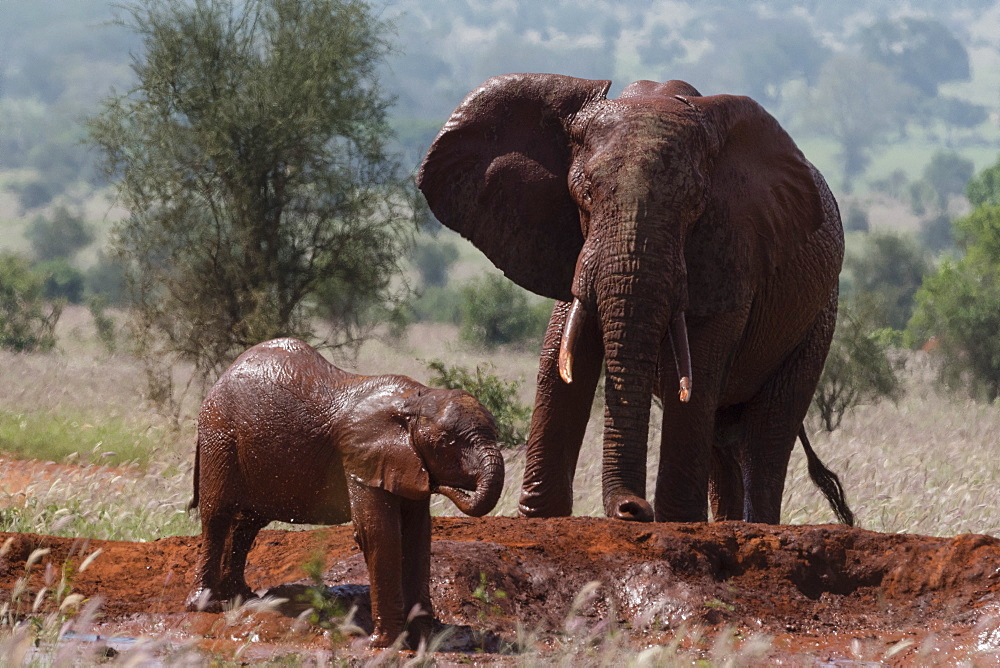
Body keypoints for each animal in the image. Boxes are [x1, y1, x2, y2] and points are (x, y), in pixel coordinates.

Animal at [186, 340, 508, 648]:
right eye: (447, 442)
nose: (442, 485)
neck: (413, 400)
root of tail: (223, 375)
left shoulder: (407, 462)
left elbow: (417, 536)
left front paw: (423, 641)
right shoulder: (361, 458)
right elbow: (377, 534)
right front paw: (382, 643)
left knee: (248, 522)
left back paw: (242, 597)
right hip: (220, 435)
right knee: (217, 514)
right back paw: (205, 605)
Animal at [416, 72, 852, 520]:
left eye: (695, 205)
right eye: (585, 194)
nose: (632, 508)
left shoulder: (731, 251)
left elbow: (694, 373)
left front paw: (675, 521)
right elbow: (562, 357)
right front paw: (543, 516)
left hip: (818, 317)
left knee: (768, 432)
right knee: (723, 439)